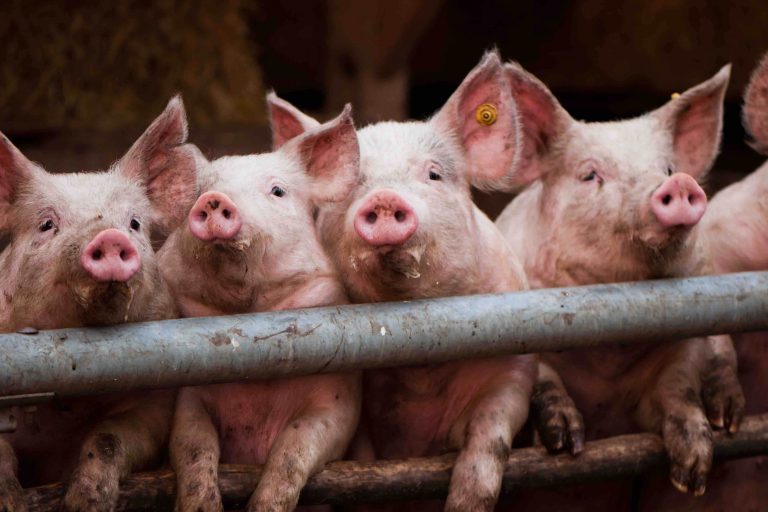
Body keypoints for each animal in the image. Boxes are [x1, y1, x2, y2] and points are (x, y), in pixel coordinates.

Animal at [0, 96, 199, 511]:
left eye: (134, 223)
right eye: (46, 225)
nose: (108, 236)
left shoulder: (155, 401)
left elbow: (110, 438)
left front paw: (85, 502)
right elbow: (1, 453)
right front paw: (13, 503)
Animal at [160, 106, 361, 512]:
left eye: (277, 190)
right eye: (200, 192)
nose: (214, 199)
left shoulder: (338, 398)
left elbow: (293, 449)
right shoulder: (189, 395)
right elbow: (193, 446)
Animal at [270, 51, 537, 511]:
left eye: (433, 174)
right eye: (353, 183)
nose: (384, 198)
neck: (419, 363)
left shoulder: (514, 365)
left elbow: (491, 433)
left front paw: (465, 501)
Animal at [494, 62, 744, 506]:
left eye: (666, 168)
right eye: (590, 174)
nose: (678, 184)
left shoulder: (685, 343)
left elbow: (678, 390)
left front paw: (693, 476)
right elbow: (542, 378)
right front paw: (565, 444)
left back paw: (728, 419)